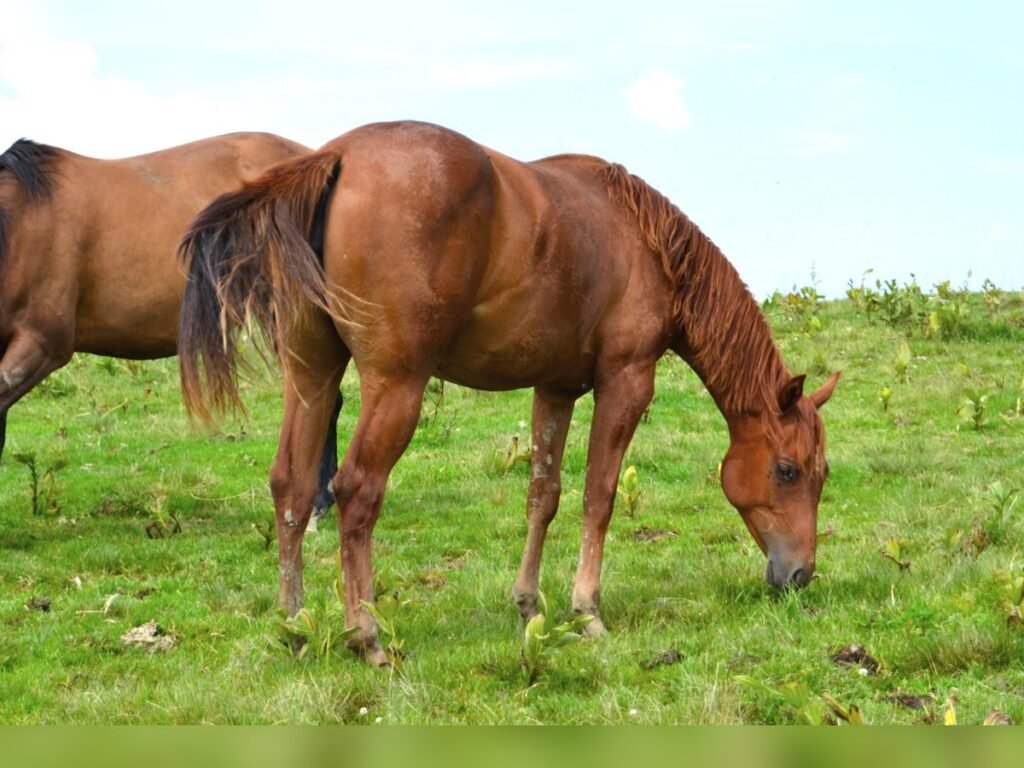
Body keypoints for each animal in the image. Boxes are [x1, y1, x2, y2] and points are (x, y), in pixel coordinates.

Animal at [178, 120, 840, 665]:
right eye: (786, 470)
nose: (800, 574)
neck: (644, 242)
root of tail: (336, 157)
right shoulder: (625, 382)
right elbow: (598, 496)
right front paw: (587, 611)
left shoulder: (556, 387)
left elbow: (542, 496)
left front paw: (529, 604)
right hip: (396, 386)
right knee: (356, 491)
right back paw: (366, 636)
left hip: (311, 376)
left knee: (291, 486)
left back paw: (294, 627)